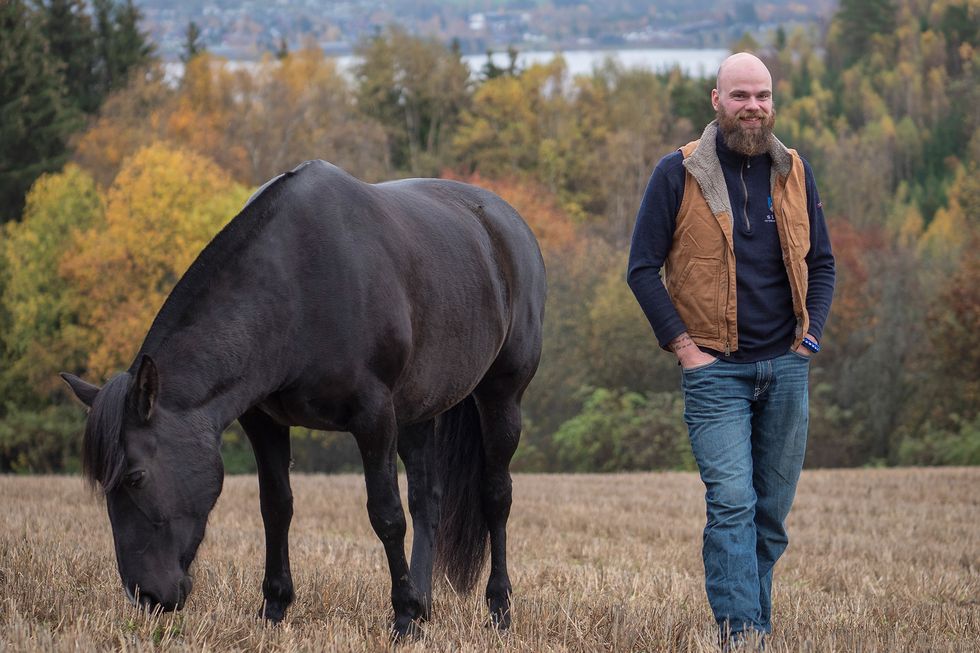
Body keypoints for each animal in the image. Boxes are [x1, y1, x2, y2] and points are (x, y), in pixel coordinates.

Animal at [61, 159, 548, 636]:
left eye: (136, 477)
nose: (146, 596)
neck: (296, 286)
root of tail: (508, 224)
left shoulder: (375, 417)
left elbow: (386, 515)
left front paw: (403, 616)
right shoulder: (265, 421)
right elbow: (276, 508)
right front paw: (274, 607)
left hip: (500, 396)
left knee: (496, 497)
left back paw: (497, 609)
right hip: (419, 411)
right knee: (427, 499)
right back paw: (427, 603)